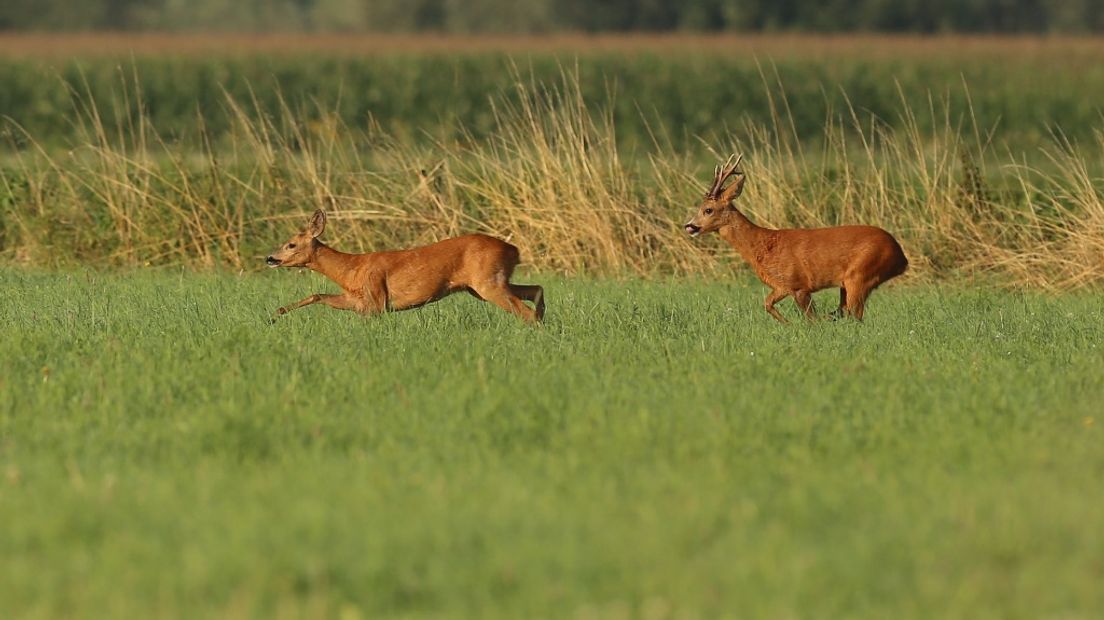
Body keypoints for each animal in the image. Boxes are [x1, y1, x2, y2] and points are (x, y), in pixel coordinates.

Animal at [267, 208, 543, 319]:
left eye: (291, 244)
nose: (269, 258)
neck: (350, 270)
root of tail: (514, 250)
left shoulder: (376, 299)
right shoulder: (358, 300)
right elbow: (318, 295)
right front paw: (275, 314)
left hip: (488, 282)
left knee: (526, 312)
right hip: (484, 285)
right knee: (537, 290)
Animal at [684, 154, 909, 319]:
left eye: (708, 210)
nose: (689, 226)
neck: (762, 245)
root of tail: (902, 257)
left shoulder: (798, 284)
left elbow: (812, 319)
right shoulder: (781, 286)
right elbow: (767, 303)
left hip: (861, 274)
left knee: (855, 316)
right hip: (848, 284)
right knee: (847, 312)